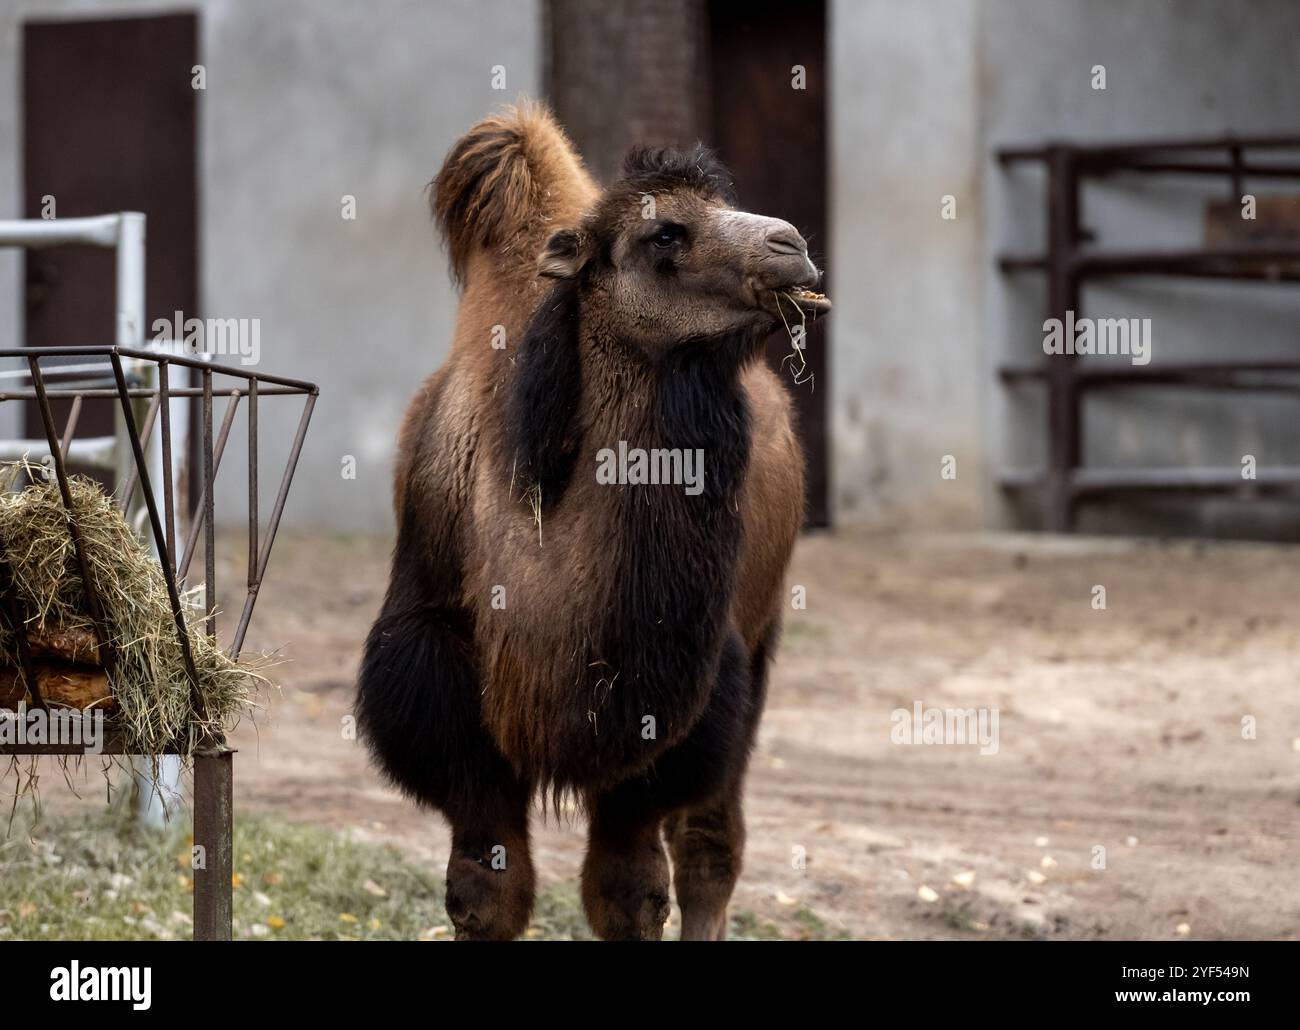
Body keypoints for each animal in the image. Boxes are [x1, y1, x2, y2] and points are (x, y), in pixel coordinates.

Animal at [356, 100, 830, 940]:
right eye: (664, 234)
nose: (793, 246)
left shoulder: (679, 710)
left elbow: (630, 892)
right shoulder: (440, 690)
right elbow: (483, 891)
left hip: (762, 635)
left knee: (712, 846)